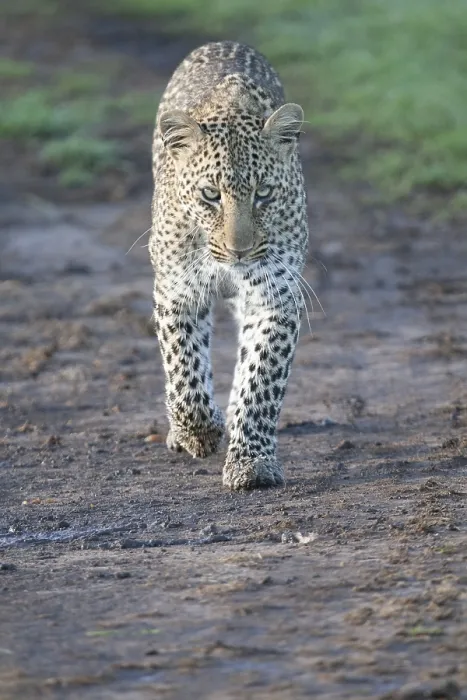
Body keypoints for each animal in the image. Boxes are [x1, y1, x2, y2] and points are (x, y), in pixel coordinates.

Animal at [149, 41, 308, 490]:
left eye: (264, 193)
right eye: (210, 195)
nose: (240, 250)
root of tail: (223, 43)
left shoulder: (275, 297)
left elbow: (261, 377)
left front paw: (252, 462)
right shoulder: (176, 291)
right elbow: (183, 365)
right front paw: (199, 432)